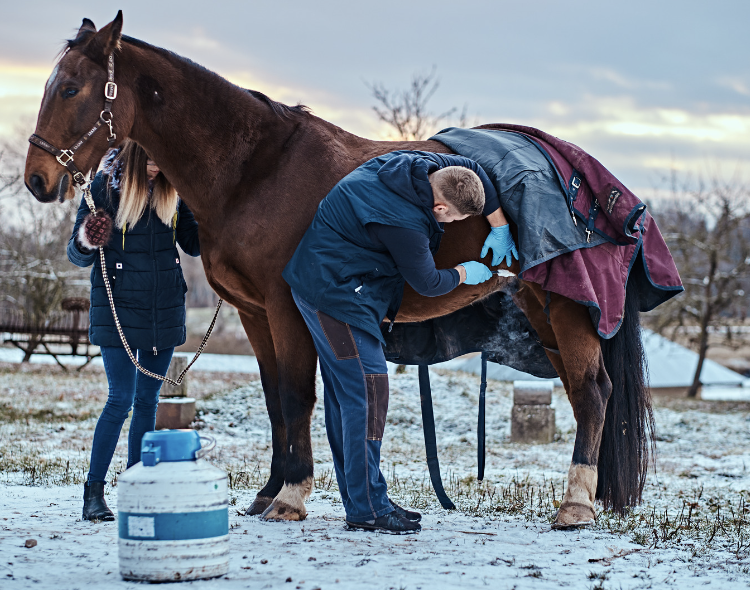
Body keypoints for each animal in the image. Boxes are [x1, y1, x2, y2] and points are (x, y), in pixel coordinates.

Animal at [26, 12, 656, 532]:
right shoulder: (255, 315)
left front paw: (290, 497)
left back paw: (574, 505)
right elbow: (275, 400)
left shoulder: (287, 308)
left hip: (569, 310)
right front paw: (268, 491)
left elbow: (296, 396)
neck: (256, 170)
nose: (36, 178)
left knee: (592, 391)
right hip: (542, 313)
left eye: (72, 87)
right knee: (582, 391)